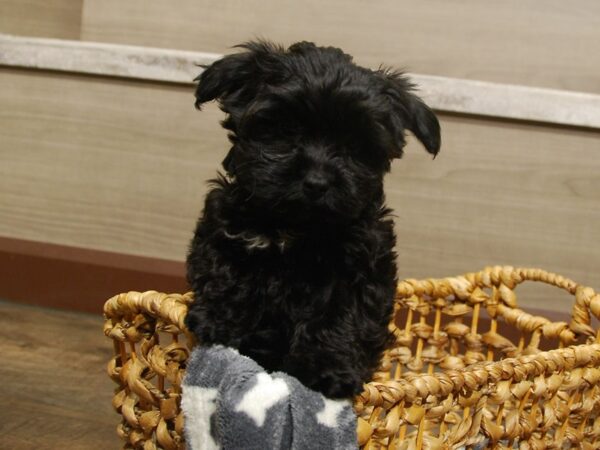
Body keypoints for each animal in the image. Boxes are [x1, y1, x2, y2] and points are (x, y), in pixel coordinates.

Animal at [185, 38, 438, 398]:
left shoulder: (358, 270)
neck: (297, 226)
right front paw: (219, 322)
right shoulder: (226, 229)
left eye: (355, 145)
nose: (317, 182)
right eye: (285, 130)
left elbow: (340, 318)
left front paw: (327, 369)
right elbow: (226, 274)